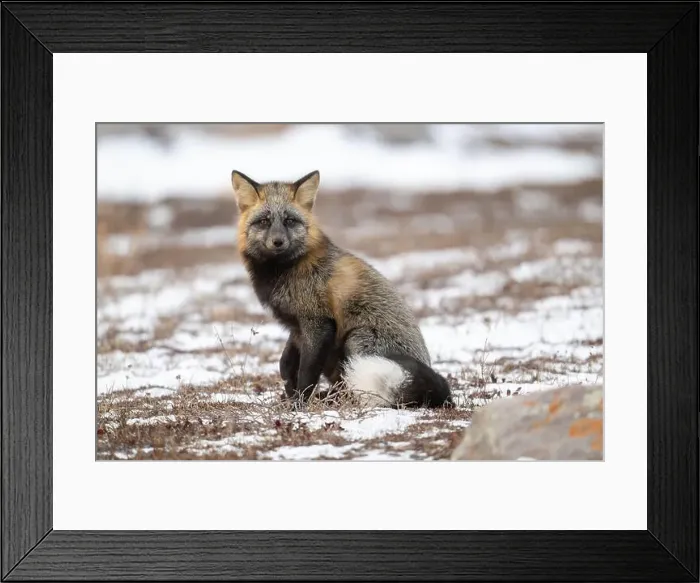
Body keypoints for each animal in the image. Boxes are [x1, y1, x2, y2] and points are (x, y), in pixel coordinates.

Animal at [231, 169, 453, 409]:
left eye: (289, 220)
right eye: (264, 221)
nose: (278, 241)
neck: (285, 270)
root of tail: (446, 398)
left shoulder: (318, 324)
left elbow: (306, 374)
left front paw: (299, 405)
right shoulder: (297, 327)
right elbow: (285, 363)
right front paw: (289, 391)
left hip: (357, 340)